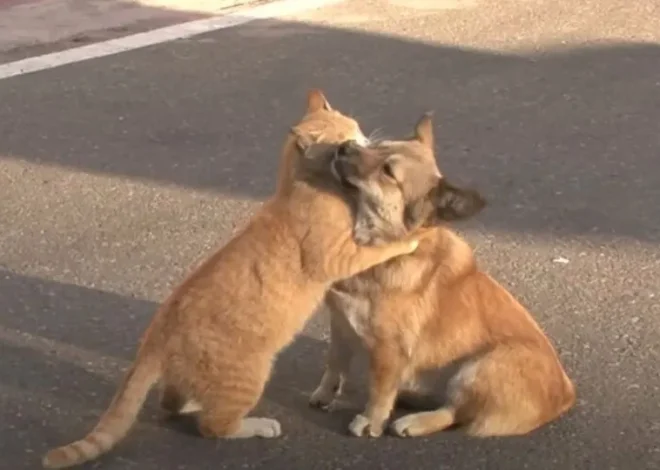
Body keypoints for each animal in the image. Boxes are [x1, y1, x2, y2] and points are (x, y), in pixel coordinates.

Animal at [42, 97, 422, 468]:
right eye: (345, 141)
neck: (299, 184)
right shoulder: (338, 257)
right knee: (214, 426)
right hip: (250, 376)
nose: (364, 142)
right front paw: (409, 239)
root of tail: (156, 334)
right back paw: (257, 425)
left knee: (171, 403)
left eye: (356, 130)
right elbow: (379, 248)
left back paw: (192, 403)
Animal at [308, 114, 572, 440]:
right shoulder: (341, 325)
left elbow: (380, 391)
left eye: (388, 172)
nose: (344, 146)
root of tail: (566, 395)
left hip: (480, 367)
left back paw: (414, 421)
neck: (383, 252)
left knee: (455, 412)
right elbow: (335, 364)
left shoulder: (389, 349)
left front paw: (371, 420)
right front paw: (325, 392)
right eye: (378, 145)